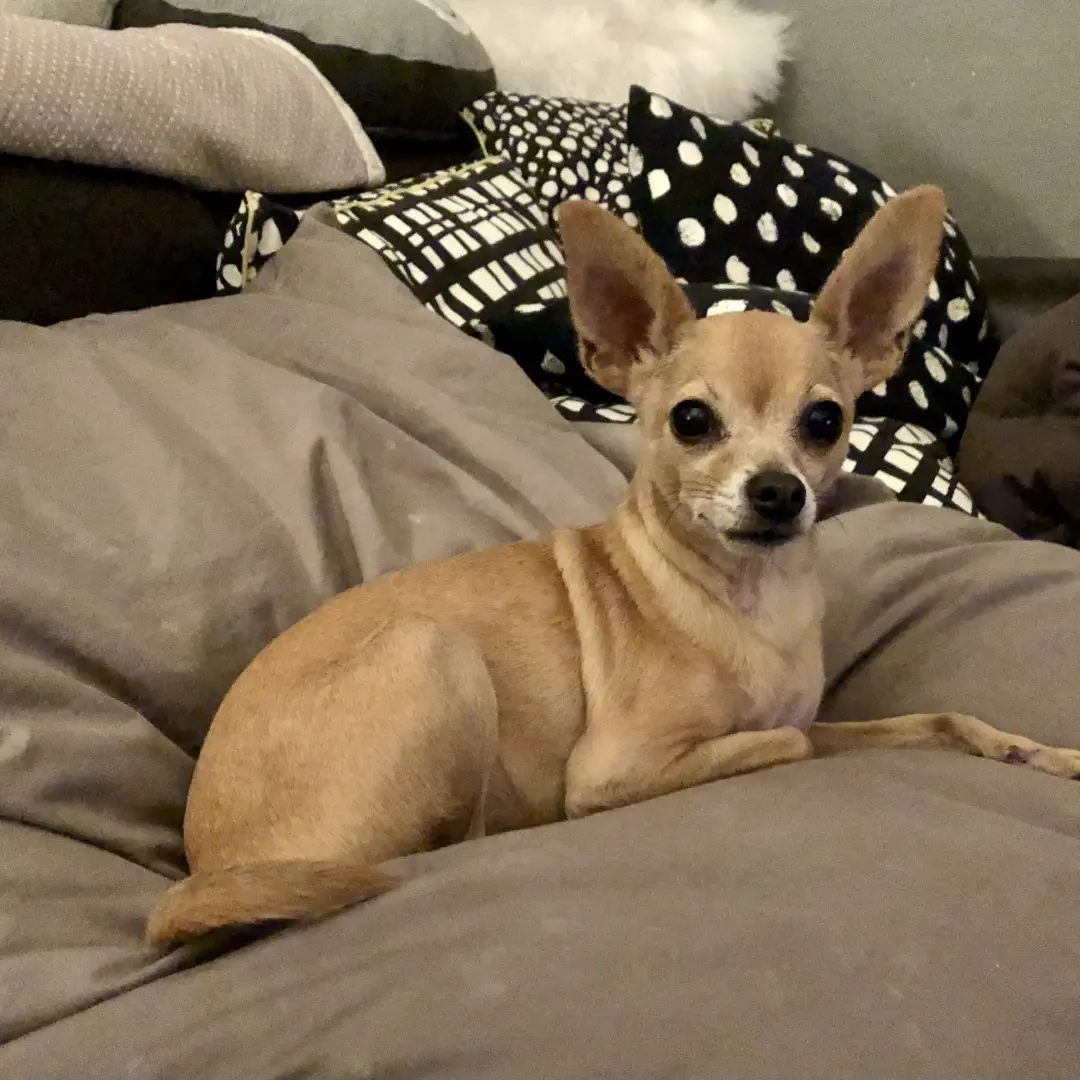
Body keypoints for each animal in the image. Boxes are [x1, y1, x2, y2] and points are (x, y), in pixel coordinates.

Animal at [147, 190, 1080, 950]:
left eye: (825, 421)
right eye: (692, 421)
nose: (779, 492)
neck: (744, 599)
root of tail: (206, 868)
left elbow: (934, 718)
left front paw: (1040, 753)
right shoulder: (616, 768)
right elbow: (791, 739)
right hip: (433, 653)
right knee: (466, 840)